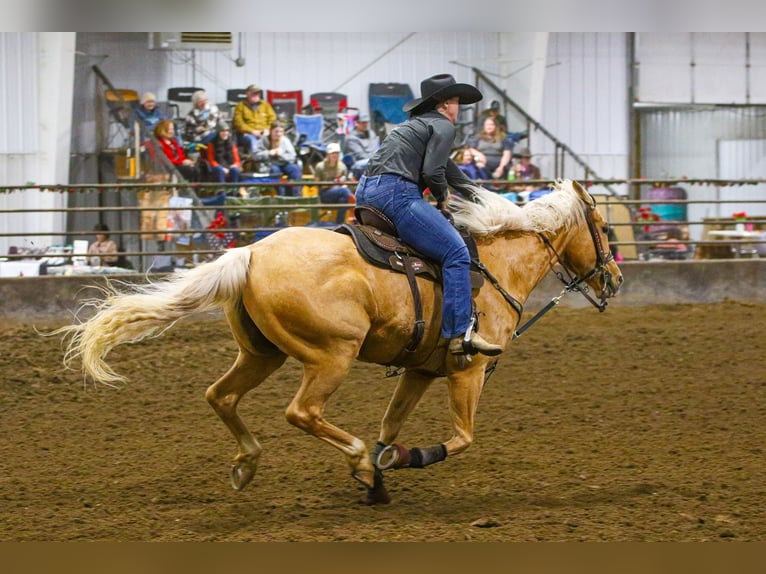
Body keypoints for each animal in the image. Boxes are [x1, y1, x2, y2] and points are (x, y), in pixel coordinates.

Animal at [58, 179, 624, 504]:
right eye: (601, 225)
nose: (615, 279)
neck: (495, 265)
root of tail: (250, 254)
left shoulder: (420, 370)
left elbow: (391, 426)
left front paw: (387, 466)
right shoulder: (468, 370)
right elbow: (462, 437)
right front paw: (398, 462)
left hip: (262, 353)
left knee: (220, 395)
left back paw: (249, 465)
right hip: (332, 355)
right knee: (301, 412)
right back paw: (355, 462)